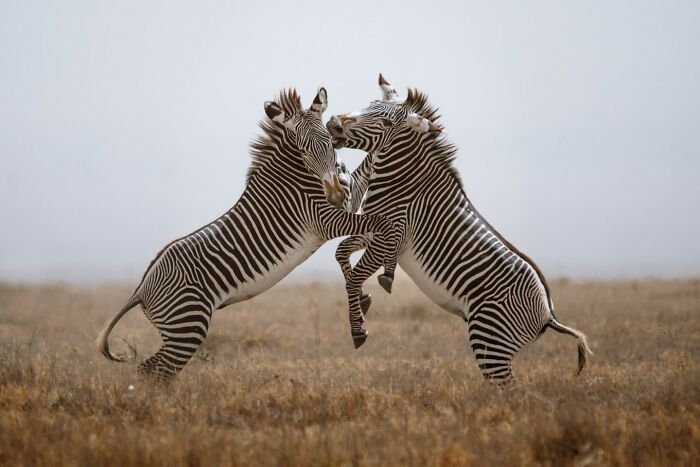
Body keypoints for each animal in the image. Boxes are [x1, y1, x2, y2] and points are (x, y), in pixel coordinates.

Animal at [96, 87, 398, 380]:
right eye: (301, 151)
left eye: (329, 142)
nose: (333, 195)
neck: (298, 177)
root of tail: (141, 288)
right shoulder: (324, 219)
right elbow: (378, 221)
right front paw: (385, 273)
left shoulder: (341, 199)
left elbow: (362, 174)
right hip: (188, 323)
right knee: (154, 370)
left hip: (179, 327)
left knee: (152, 370)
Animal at [326, 75, 592, 381]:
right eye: (369, 104)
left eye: (387, 123)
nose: (333, 122)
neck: (404, 183)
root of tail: (549, 313)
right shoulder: (373, 230)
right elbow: (342, 252)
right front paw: (364, 299)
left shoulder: (390, 236)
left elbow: (355, 276)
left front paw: (358, 328)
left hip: (489, 336)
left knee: (509, 386)